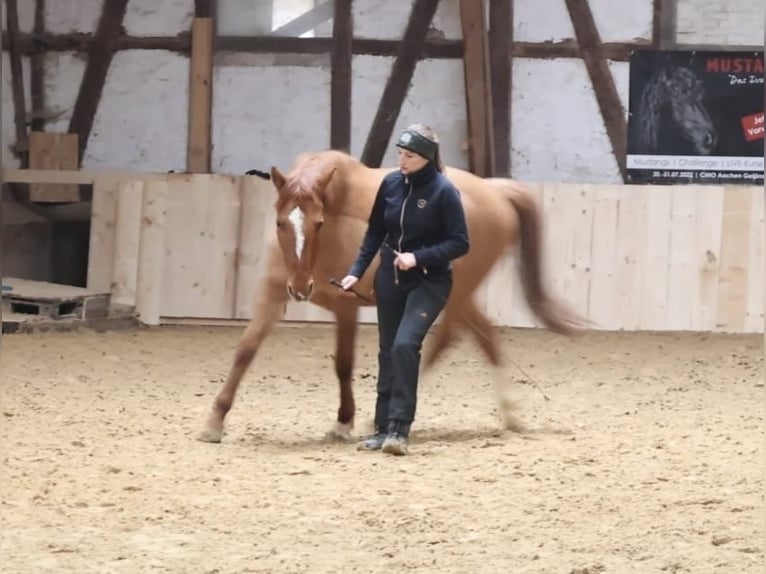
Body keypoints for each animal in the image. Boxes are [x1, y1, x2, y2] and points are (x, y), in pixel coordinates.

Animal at [197, 150, 583, 444]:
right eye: (281, 222)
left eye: (318, 223)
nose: (302, 288)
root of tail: (496, 193)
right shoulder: (273, 292)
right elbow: (245, 350)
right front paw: (214, 422)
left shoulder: (345, 305)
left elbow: (343, 363)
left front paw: (342, 423)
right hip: (457, 294)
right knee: (477, 335)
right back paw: (509, 414)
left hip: (454, 291)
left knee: (453, 339)